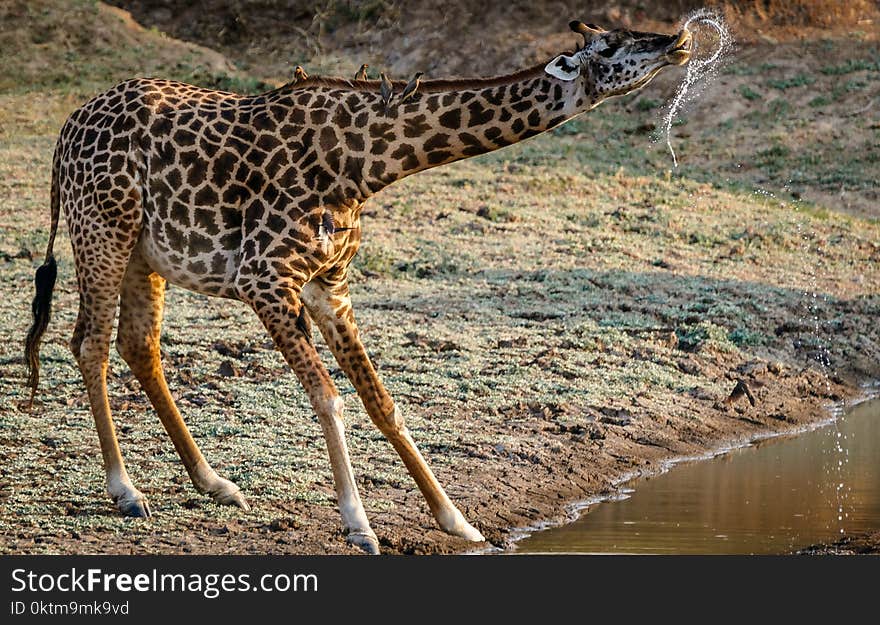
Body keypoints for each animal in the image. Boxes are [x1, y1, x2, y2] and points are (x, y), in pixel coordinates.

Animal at [22, 22, 696, 552]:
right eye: (611, 45)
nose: (678, 41)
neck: (363, 164)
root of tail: (65, 132)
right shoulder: (264, 278)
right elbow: (329, 396)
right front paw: (360, 526)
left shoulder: (329, 283)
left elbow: (381, 401)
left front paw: (457, 521)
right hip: (103, 230)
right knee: (90, 343)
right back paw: (126, 491)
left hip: (145, 252)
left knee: (138, 345)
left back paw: (215, 483)